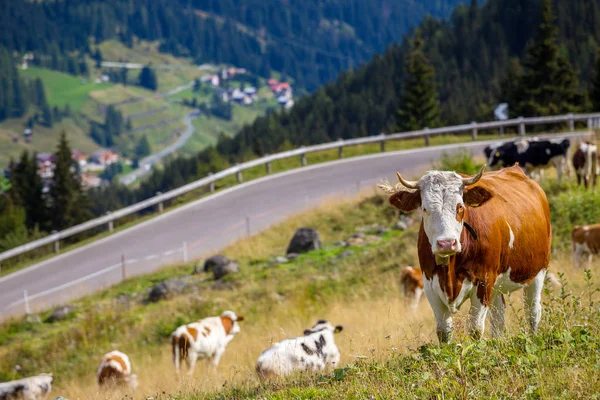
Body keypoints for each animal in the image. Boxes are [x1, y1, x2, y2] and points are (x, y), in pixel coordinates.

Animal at [382, 164, 552, 342]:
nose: (446, 243)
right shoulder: (430, 286)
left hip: (538, 271)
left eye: (460, 206)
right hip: (497, 285)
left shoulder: (483, 282)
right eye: (424, 209)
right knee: (498, 317)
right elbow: (443, 331)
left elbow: (475, 329)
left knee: (532, 311)